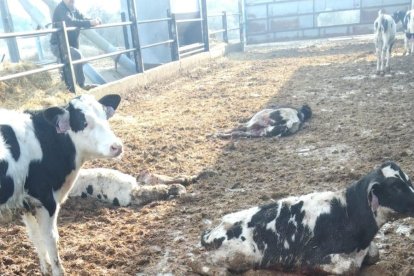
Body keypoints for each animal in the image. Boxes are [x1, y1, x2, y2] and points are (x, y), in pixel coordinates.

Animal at [0, 94, 122, 274]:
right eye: (83, 122)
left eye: (105, 116)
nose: (117, 146)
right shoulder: (46, 198)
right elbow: (50, 239)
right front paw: (58, 271)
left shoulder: (25, 203)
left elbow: (35, 236)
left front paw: (45, 268)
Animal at [196, 161, 414, 274]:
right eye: (396, 186)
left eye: (409, 181)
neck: (347, 213)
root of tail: (213, 230)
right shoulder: (309, 257)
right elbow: (349, 266)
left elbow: (374, 253)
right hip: (236, 256)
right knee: (203, 263)